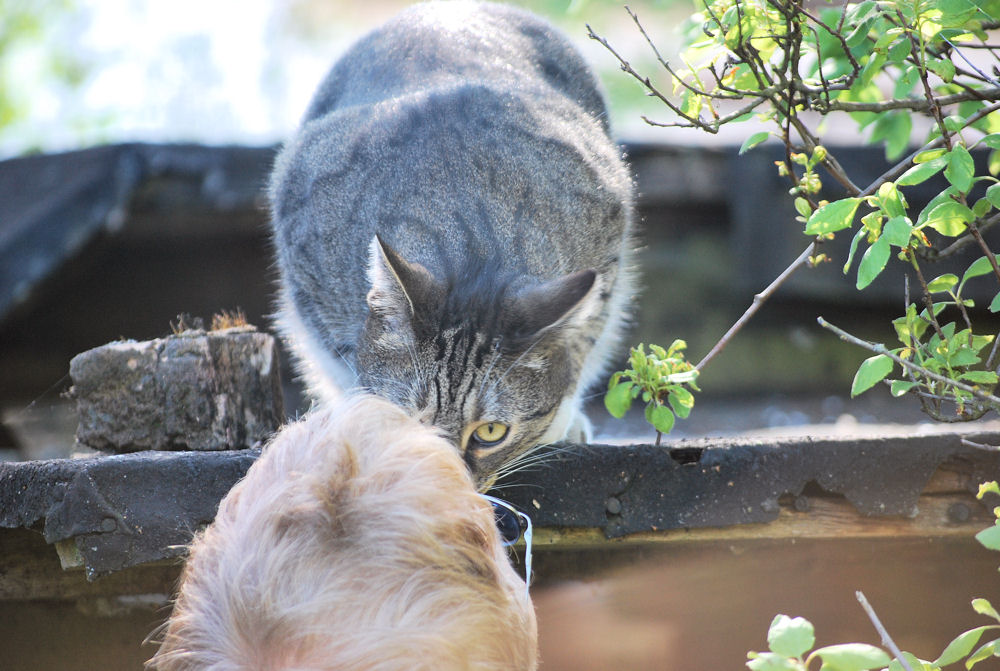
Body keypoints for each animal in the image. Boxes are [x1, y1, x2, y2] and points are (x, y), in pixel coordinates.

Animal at [270, 0, 636, 486]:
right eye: (410, 420)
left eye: (491, 432)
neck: (473, 245)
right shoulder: (304, 262)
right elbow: (342, 366)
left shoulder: (608, 245)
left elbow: (582, 348)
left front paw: (562, 418)